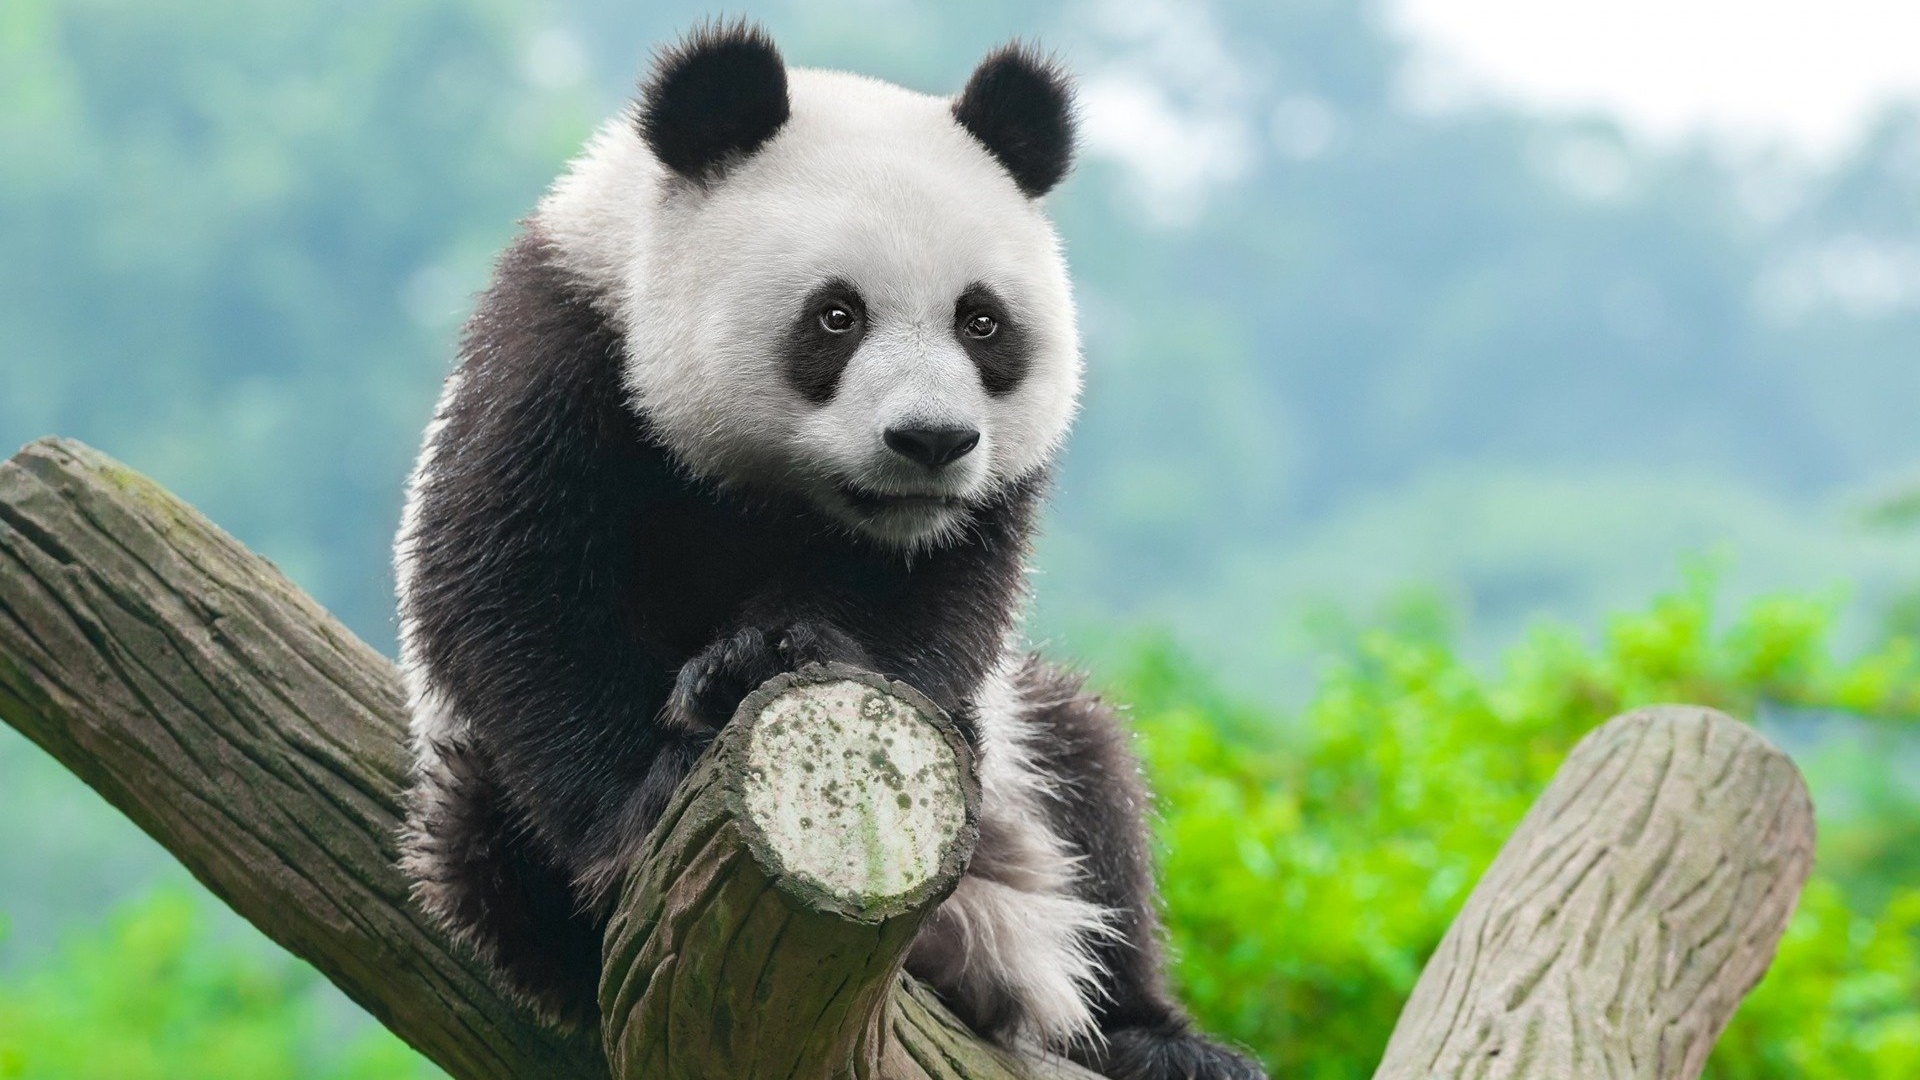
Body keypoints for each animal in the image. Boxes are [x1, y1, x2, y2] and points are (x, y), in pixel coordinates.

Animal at [394, 21, 1261, 1080]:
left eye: (982, 321)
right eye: (836, 315)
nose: (931, 440)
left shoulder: (972, 512)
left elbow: (930, 602)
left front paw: (768, 654)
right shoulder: (564, 349)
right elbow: (515, 592)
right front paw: (653, 791)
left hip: (1021, 771)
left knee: (1092, 784)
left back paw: (1158, 1037)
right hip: (468, 798)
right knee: (482, 844)